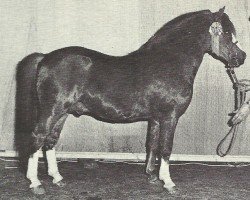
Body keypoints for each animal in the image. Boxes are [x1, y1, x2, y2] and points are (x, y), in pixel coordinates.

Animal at [15, 7, 246, 195]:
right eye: (226, 33)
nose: (241, 57)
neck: (169, 62)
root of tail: (44, 58)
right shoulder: (170, 117)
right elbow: (166, 148)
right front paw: (169, 183)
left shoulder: (156, 118)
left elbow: (152, 144)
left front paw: (152, 176)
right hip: (52, 111)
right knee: (38, 137)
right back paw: (36, 184)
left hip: (62, 113)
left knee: (50, 141)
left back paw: (57, 178)